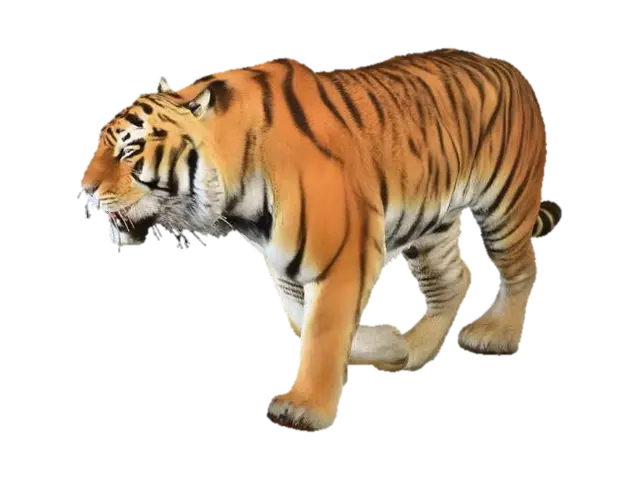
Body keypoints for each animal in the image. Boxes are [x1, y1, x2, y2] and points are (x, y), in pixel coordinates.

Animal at [79, 47, 562, 433]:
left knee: (523, 266)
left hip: (504, 205)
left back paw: (496, 335)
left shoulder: (343, 253)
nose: (82, 189)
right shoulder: (285, 264)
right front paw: (387, 347)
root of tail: (511, 69)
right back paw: (413, 353)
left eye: (129, 150)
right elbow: (302, 320)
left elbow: (325, 329)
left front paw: (303, 409)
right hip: (432, 224)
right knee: (454, 277)